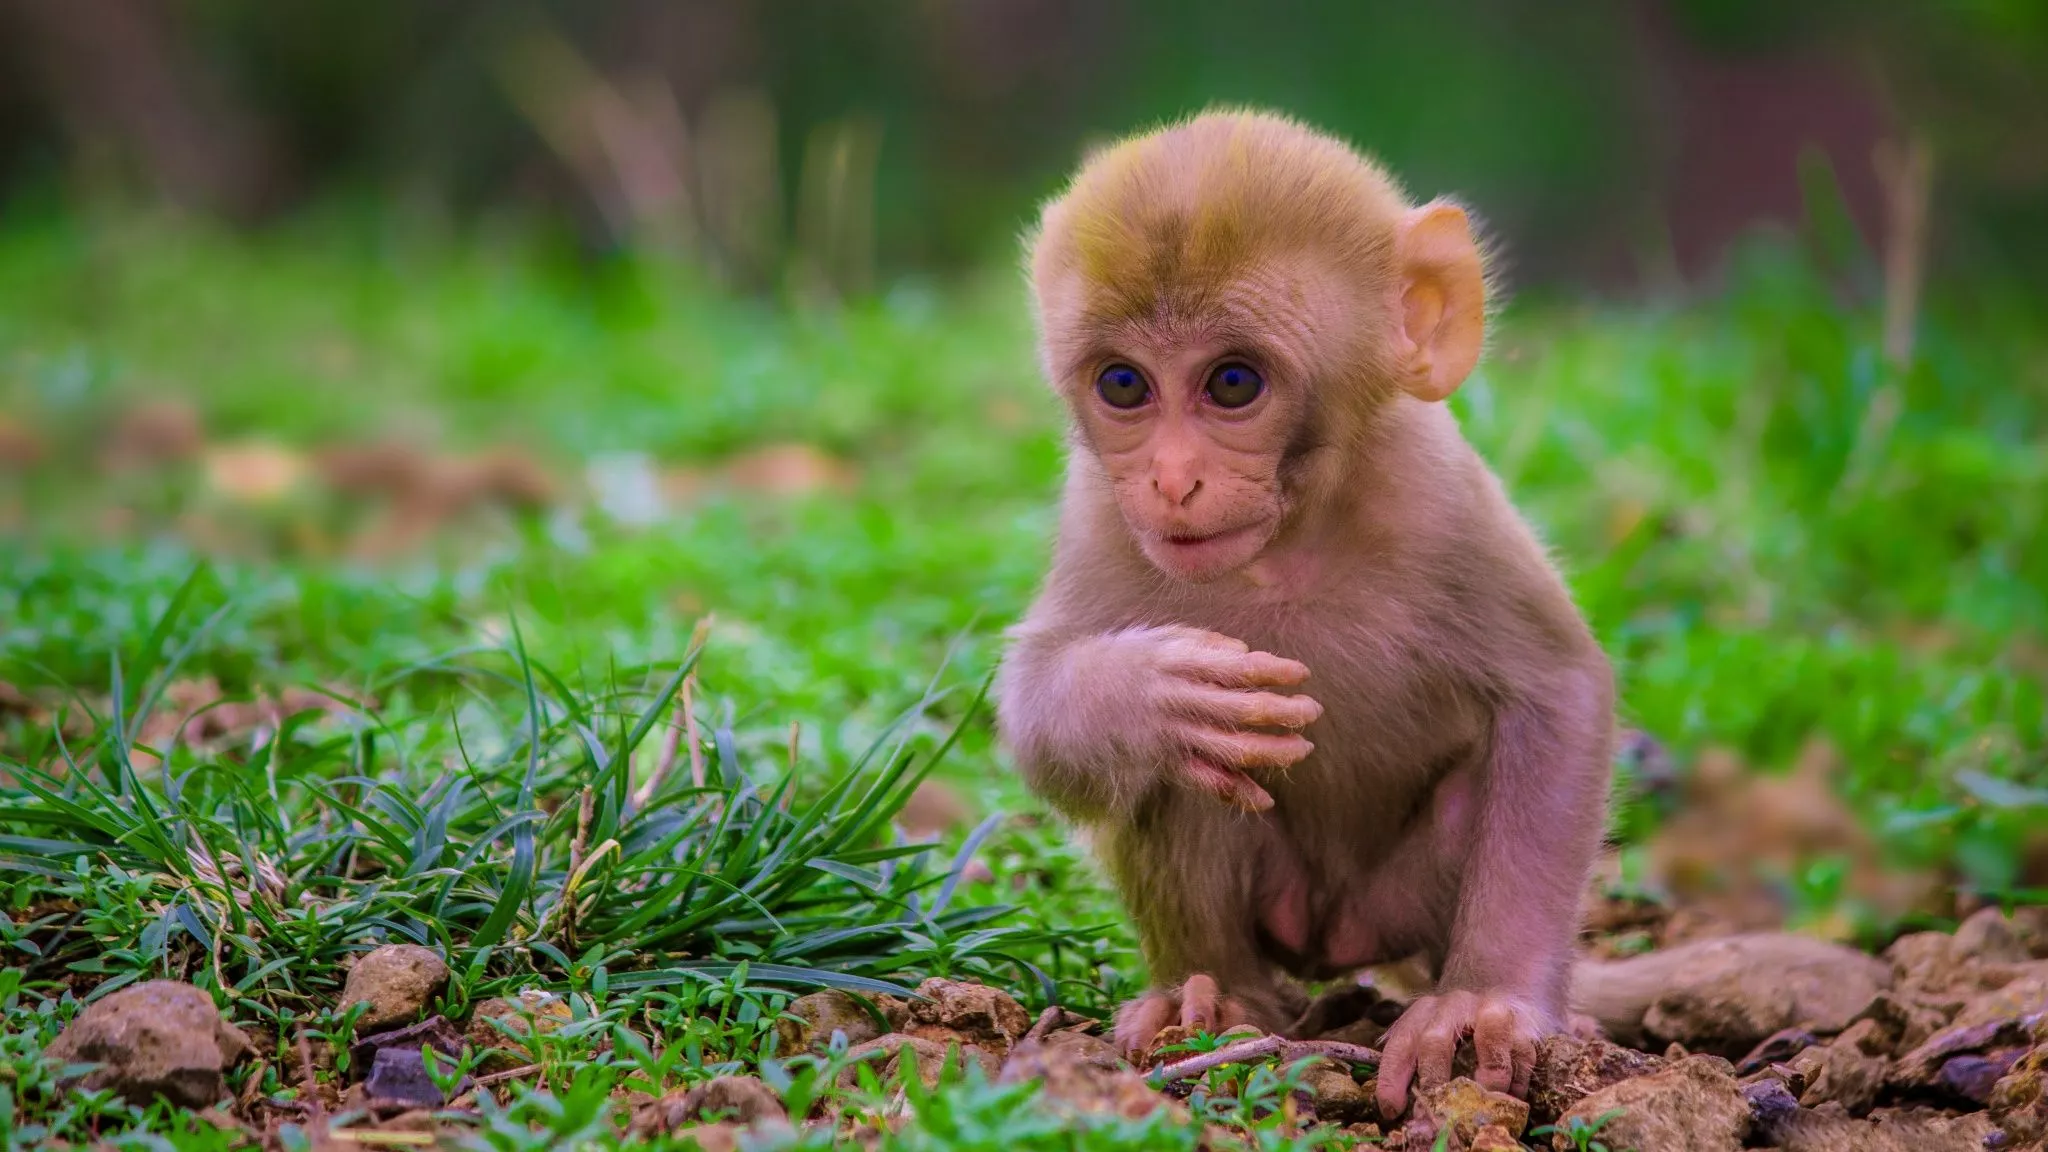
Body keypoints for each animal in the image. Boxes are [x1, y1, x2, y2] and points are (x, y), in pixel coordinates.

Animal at [992, 109, 1615, 1119]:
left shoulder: (1437, 490)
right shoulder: (1101, 512)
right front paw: (1150, 695)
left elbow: (1557, 693)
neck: (1288, 540)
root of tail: (1335, 937)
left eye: (1233, 384)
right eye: (1123, 385)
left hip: (1397, 901)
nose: (1171, 480)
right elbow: (1039, 711)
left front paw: (1485, 1001)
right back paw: (1213, 997)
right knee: (1185, 775)